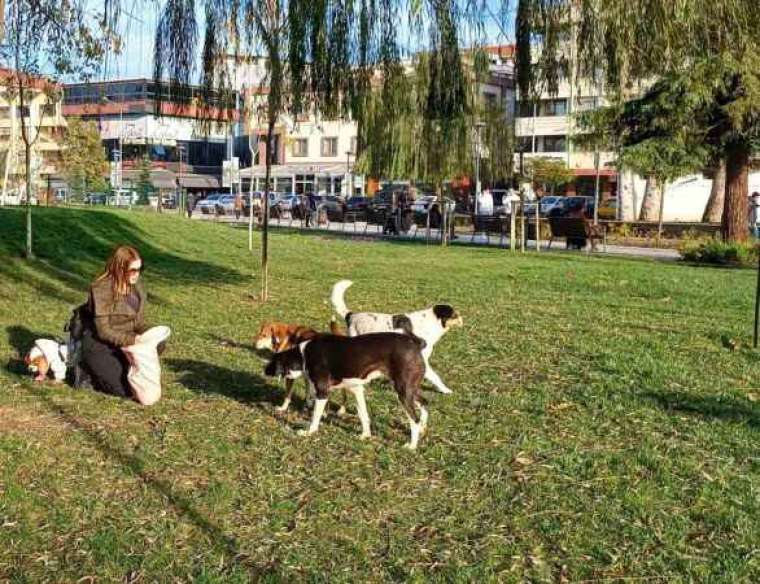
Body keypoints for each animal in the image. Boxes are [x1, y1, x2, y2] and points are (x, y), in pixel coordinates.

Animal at [262, 334, 430, 448]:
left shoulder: (322, 393)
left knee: (414, 419)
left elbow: (315, 417)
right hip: (410, 390)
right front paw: (365, 435)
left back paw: (412, 446)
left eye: (272, 361)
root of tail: (415, 343)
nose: (264, 370)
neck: (303, 355)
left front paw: (309, 432)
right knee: (425, 403)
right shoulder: (356, 390)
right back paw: (423, 428)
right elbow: (363, 415)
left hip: (403, 392)